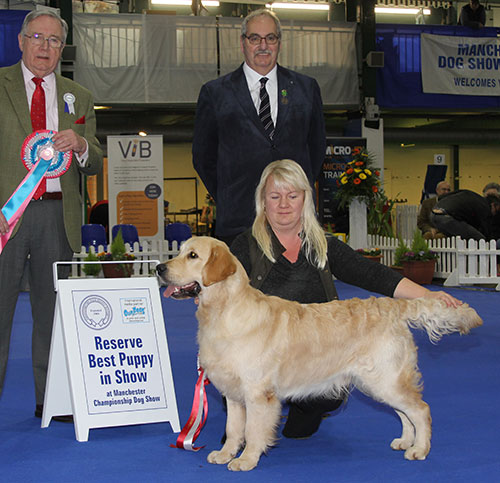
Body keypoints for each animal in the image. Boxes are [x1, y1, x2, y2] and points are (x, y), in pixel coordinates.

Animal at [157, 238, 484, 472]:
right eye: (179, 251)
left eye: (193, 256)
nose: (160, 268)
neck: (223, 311)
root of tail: (391, 307)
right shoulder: (234, 393)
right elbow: (234, 428)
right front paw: (225, 454)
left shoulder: (258, 393)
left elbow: (252, 430)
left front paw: (247, 460)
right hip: (379, 382)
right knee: (405, 412)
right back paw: (405, 441)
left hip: (386, 379)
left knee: (421, 410)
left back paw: (420, 449)